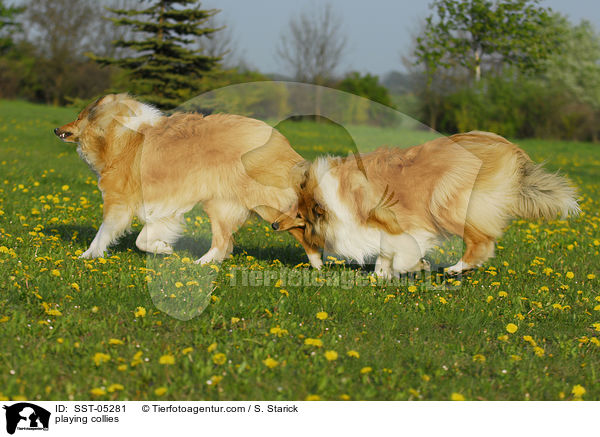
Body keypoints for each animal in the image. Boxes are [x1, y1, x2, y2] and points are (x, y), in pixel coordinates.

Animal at [55, 93, 324, 266]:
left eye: (78, 117)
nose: (56, 130)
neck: (119, 136)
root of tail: (278, 140)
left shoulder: (118, 202)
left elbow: (103, 233)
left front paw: (86, 256)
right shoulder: (163, 208)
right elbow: (143, 239)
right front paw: (163, 248)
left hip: (267, 206)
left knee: (301, 227)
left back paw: (317, 264)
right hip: (221, 205)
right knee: (222, 241)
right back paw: (201, 263)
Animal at [268, 131, 576, 276]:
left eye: (300, 214)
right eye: (294, 208)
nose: (273, 225)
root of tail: (509, 148)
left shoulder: (403, 222)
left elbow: (402, 250)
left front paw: (415, 267)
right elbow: (385, 253)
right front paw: (382, 275)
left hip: (447, 203)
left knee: (482, 242)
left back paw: (456, 268)